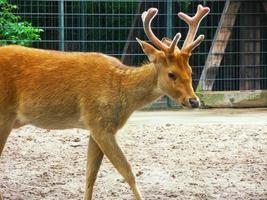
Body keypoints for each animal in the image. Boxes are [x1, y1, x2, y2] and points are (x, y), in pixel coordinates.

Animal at [0, 3, 209, 200]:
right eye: (171, 74)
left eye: (190, 71)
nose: (194, 101)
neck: (122, 94)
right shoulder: (100, 124)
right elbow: (128, 172)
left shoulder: (95, 127)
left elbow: (90, 174)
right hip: (4, 115)